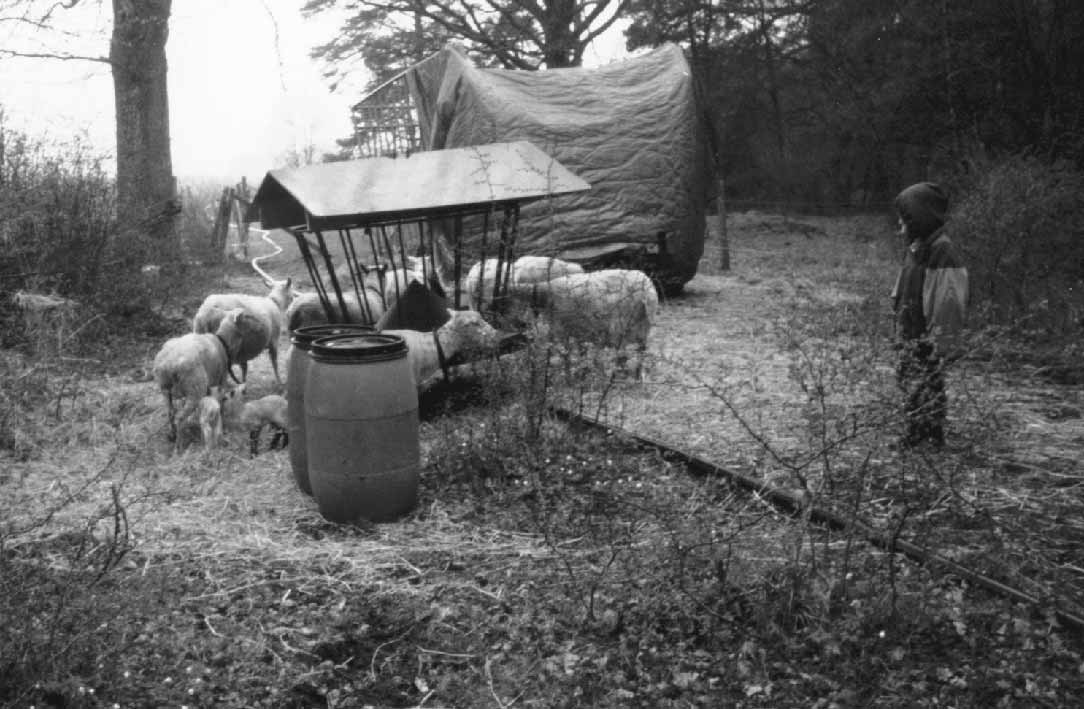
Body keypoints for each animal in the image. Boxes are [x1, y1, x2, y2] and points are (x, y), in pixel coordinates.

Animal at [153, 307, 247, 453]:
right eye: (244, 320)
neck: (223, 341)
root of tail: (168, 365)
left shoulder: (208, 386)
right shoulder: (222, 378)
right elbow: (221, 401)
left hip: (165, 389)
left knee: (170, 413)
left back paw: (172, 435)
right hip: (194, 389)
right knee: (180, 418)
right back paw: (179, 447)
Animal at [509, 267, 659, 377]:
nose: (519, 323)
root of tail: (647, 288)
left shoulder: (561, 329)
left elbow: (565, 356)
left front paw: (569, 380)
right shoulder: (580, 331)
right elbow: (582, 352)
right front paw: (584, 373)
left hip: (620, 326)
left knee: (622, 354)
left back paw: (619, 378)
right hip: (642, 327)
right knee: (640, 352)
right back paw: (636, 378)